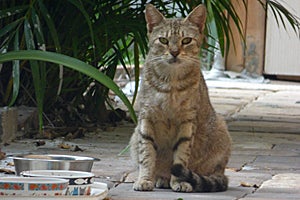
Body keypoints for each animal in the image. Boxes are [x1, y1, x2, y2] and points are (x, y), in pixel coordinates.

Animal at [129, 3, 232, 193]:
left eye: (186, 41)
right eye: (163, 40)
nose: (174, 52)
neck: (171, 83)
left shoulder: (187, 122)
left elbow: (181, 156)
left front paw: (179, 181)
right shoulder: (146, 119)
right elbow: (146, 154)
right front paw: (145, 179)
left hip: (221, 131)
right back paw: (160, 178)